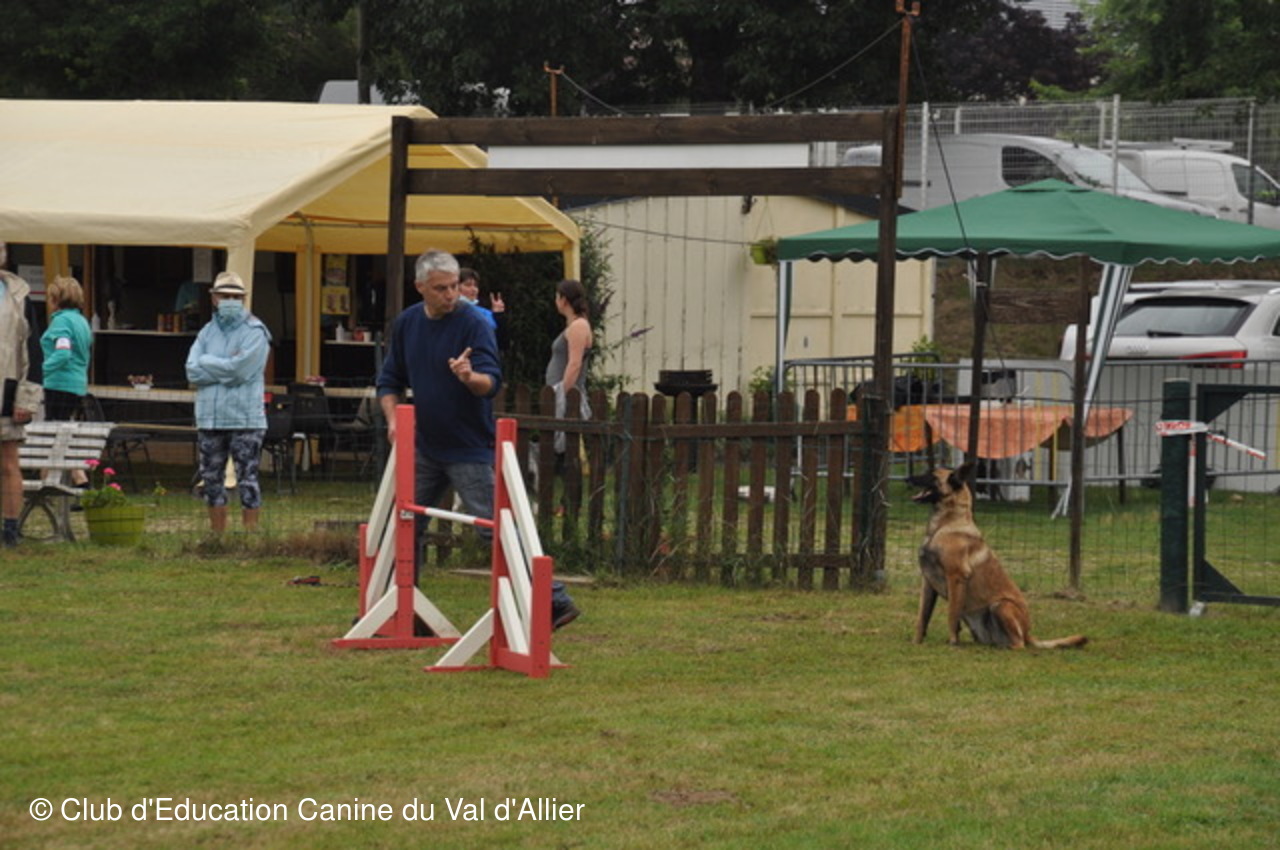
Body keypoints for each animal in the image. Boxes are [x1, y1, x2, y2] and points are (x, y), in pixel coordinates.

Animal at [906, 463, 1087, 650]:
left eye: (931, 475)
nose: (907, 478)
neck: (944, 526)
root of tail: (1028, 633)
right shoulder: (928, 582)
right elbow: (922, 617)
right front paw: (916, 642)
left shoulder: (955, 577)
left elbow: (952, 615)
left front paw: (953, 644)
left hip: (1001, 605)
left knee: (1019, 644)